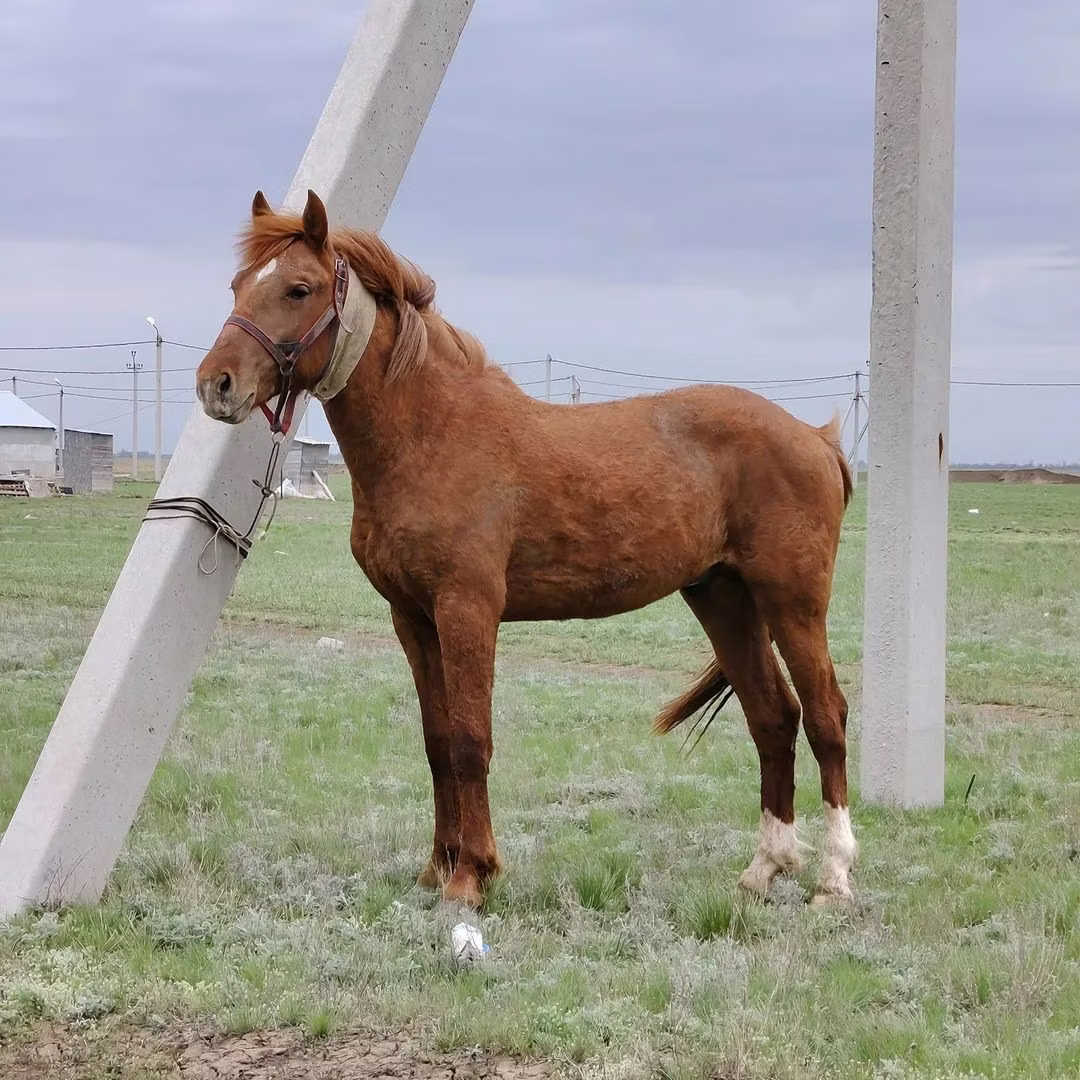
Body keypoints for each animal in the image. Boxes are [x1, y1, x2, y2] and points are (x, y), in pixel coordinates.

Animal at [195, 189, 857, 909]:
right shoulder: (413, 619)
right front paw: (437, 866)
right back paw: (764, 870)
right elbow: (436, 741)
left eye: (299, 288)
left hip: (793, 604)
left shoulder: (467, 609)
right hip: (724, 599)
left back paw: (834, 879)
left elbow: (469, 740)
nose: (216, 384)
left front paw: (470, 876)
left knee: (826, 717)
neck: (432, 435)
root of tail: (816, 439)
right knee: (773, 718)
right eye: (236, 285)